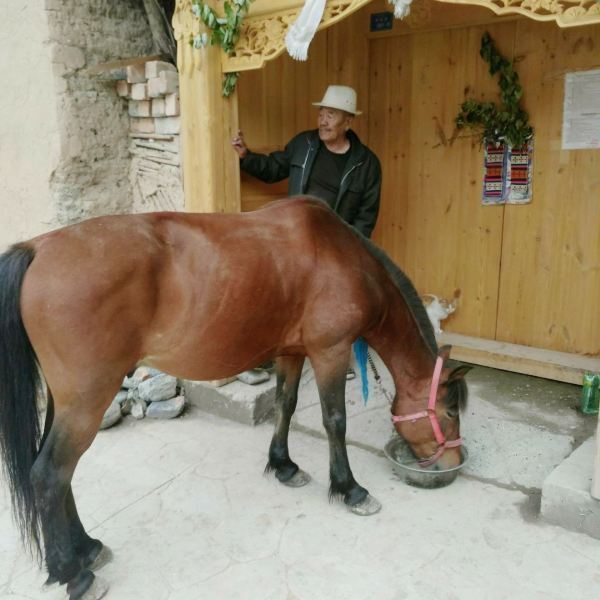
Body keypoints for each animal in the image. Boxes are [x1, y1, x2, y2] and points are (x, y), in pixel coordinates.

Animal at [0, 199, 468, 600]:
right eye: (449, 411)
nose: (453, 462)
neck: (344, 259)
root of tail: (37, 248)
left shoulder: (291, 352)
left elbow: (285, 406)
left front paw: (283, 466)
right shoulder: (329, 352)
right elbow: (335, 420)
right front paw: (350, 489)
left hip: (68, 402)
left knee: (58, 473)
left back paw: (87, 548)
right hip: (87, 401)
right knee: (49, 474)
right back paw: (73, 573)